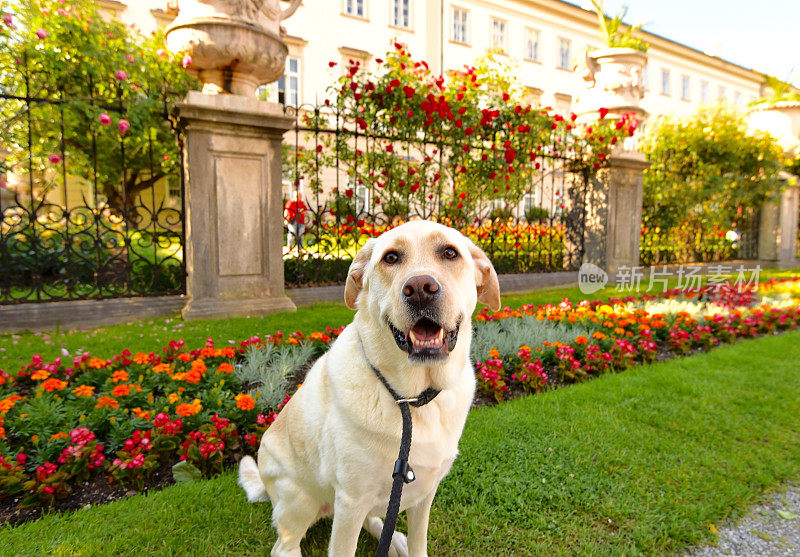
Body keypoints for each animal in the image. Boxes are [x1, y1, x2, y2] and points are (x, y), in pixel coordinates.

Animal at [239, 220, 500, 556]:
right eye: (391, 258)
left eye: (449, 253)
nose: (420, 289)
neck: (411, 398)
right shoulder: (351, 501)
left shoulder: (425, 492)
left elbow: (418, 541)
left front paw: (406, 542)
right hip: (298, 498)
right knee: (283, 545)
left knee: (374, 520)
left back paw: (394, 541)